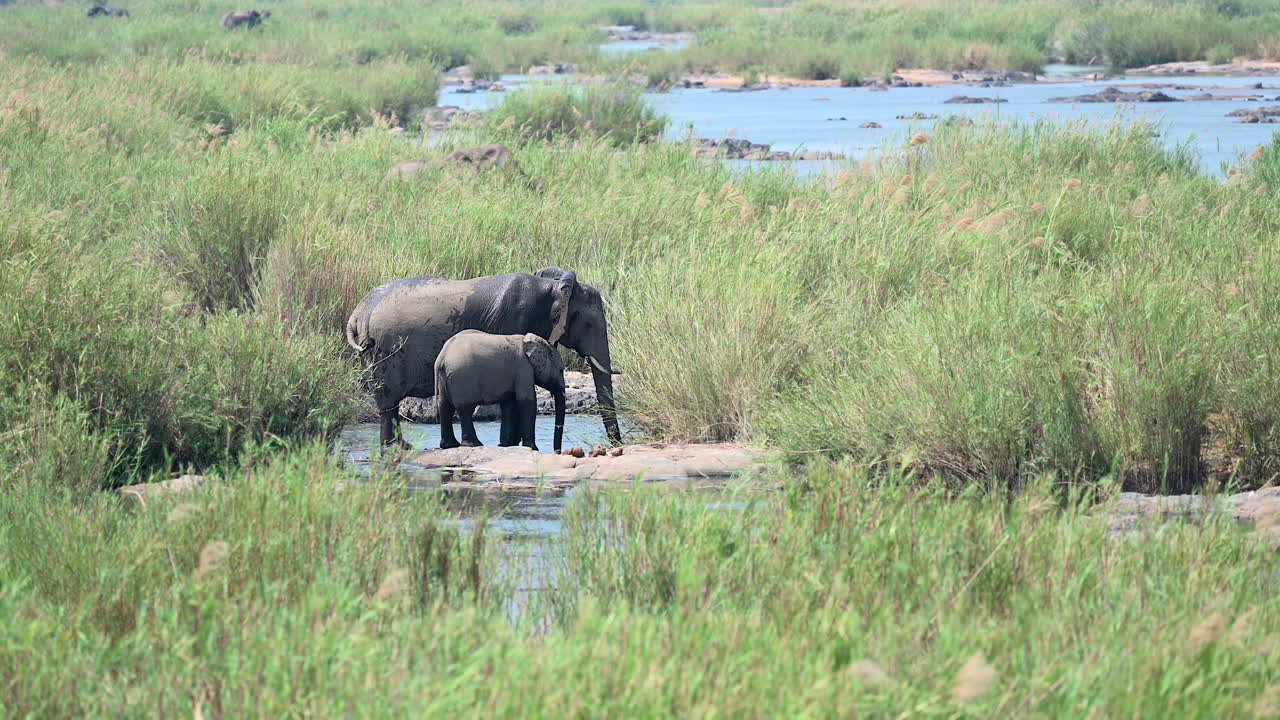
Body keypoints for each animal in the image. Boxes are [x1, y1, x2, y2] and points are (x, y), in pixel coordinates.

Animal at [434, 331, 566, 452]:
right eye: (561, 370)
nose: (557, 452)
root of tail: (442, 356)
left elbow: (509, 404)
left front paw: (505, 445)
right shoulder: (523, 368)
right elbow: (527, 401)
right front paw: (533, 448)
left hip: (445, 377)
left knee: (445, 406)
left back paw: (449, 445)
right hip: (462, 376)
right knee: (465, 409)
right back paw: (473, 444)